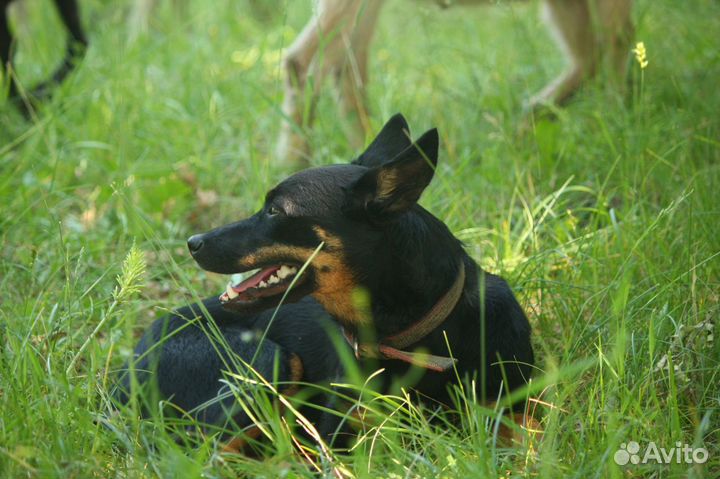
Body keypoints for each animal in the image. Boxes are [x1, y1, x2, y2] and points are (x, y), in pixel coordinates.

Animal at [116, 114, 536, 448]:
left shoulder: (516, 410)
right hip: (267, 361)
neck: (413, 340)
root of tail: (128, 368)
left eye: (275, 210)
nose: (193, 243)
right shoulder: (343, 435)